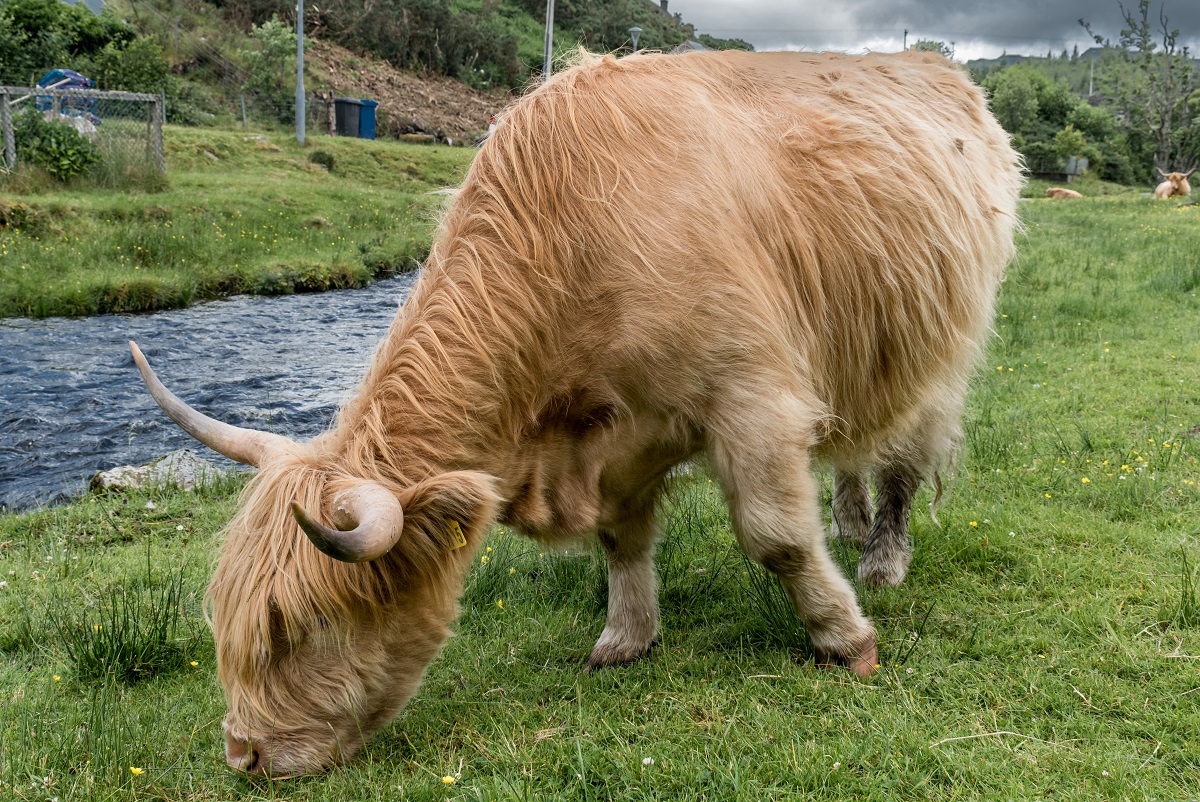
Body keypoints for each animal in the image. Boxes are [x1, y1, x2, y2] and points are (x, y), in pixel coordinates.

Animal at [131, 50, 1022, 777]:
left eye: (305, 623)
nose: (243, 754)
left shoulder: (752, 396)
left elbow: (775, 536)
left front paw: (844, 637)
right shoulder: (618, 438)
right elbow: (622, 541)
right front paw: (626, 639)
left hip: (939, 348)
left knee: (903, 458)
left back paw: (881, 557)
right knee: (848, 454)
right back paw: (850, 518)